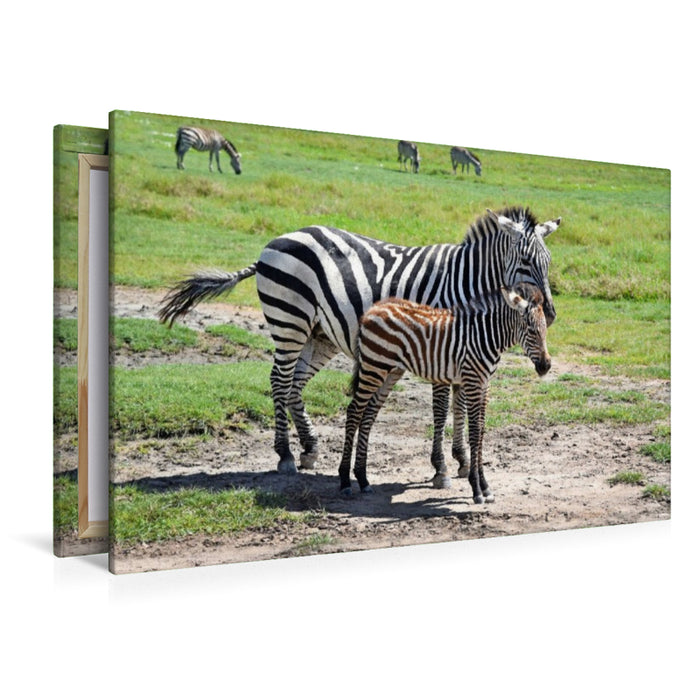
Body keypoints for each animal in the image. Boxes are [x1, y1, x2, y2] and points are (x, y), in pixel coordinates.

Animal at [158, 206, 561, 476]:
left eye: (549, 260)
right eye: (525, 261)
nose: (552, 313)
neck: (464, 284)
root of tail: (277, 241)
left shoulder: (462, 348)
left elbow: (460, 406)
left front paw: (461, 460)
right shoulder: (440, 343)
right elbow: (442, 407)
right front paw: (441, 467)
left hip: (319, 334)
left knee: (294, 384)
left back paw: (309, 448)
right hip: (289, 320)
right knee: (279, 380)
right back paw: (285, 454)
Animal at [340, 284, 551, 502]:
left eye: (545, 330)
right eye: (531, 330)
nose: (546, 366)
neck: (485, 337)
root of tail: (372, 309)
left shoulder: (485, 385)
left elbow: (481, 431)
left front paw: (485, 486)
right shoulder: (472, 382)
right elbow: (474, 432)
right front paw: (476, 488)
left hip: (390, 371)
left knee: (368, 414)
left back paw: (363, 479)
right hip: (373, 367)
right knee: (354, 411)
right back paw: (346, 481)